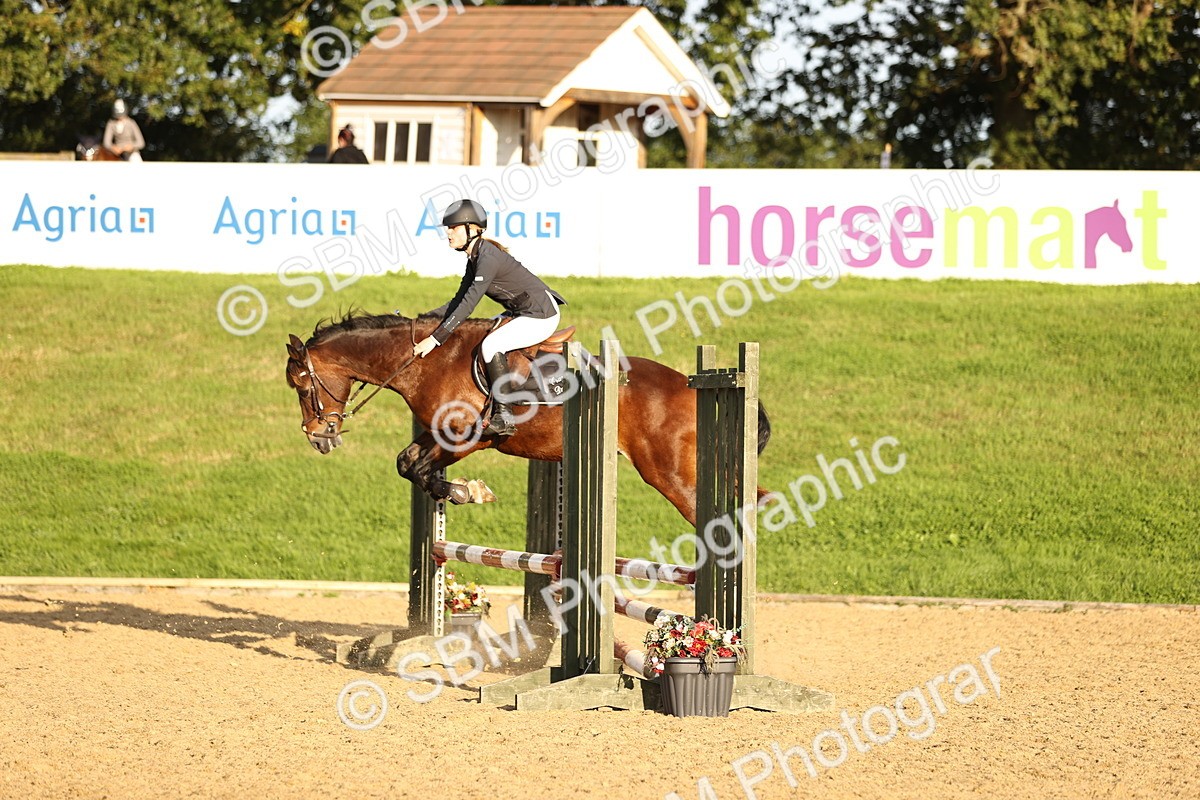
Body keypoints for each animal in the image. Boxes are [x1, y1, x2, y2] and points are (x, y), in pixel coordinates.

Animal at [284, 312, 771, 527]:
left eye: (301, 385)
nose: (318, 437)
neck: (426, 361)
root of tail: (692, 385)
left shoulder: (470, 437)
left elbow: (419, 468)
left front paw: (465, 491)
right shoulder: (439, 435)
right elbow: (408, 463)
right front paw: (459, 490)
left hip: (667, 473)